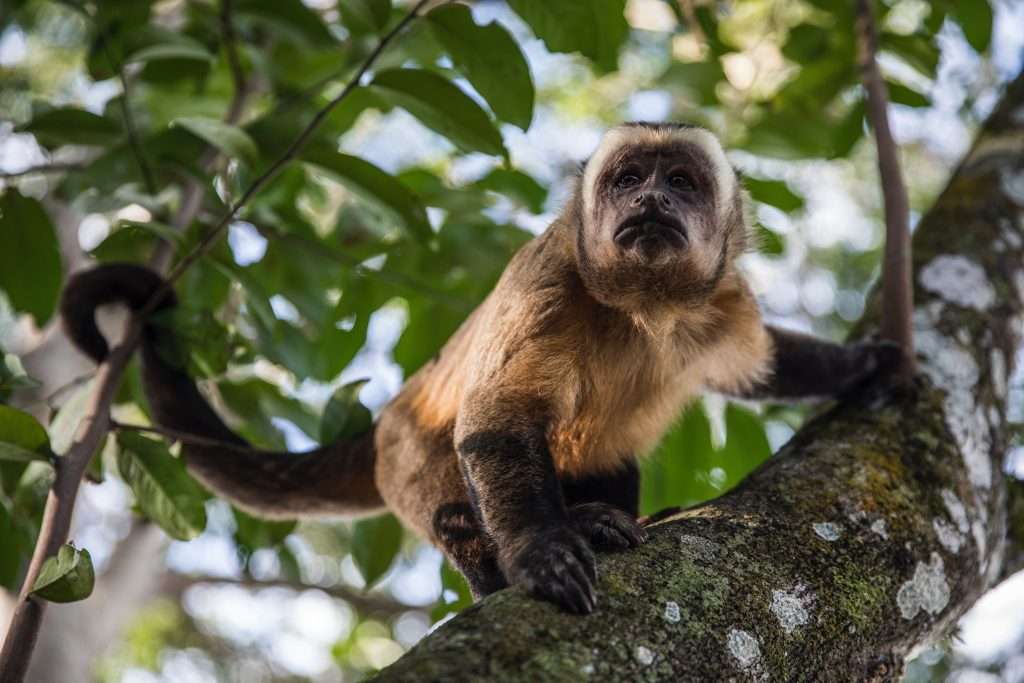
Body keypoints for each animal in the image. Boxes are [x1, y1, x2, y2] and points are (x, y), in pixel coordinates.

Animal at [61, 121, 897, 614]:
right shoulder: (550, 280)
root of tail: (381, 424)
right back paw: (494, 551)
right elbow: (498, 422)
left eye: (682, 183)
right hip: (404, 456)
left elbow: (763, 367)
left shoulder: (721, 301)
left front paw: (865, 365)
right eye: (630, 180)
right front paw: (539, 552)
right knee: (454, 477)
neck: (644, 305)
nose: (655, 199)